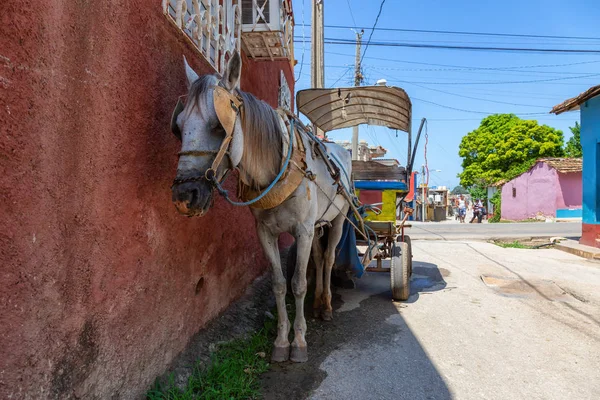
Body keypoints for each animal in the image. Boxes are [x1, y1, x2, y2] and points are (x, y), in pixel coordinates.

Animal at [170, 52, 352, 362]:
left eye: (218, 126)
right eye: (179, 127)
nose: (185, 196)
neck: (278, 169)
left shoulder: (302, 230)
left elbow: (298, 283)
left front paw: (299, 341)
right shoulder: (266, 232)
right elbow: (279, 284)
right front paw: (281, 340)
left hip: (338, 219)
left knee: (328, 260)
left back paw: (326, 306)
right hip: (317, 225)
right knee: (318, 258)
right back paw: (317, 303)